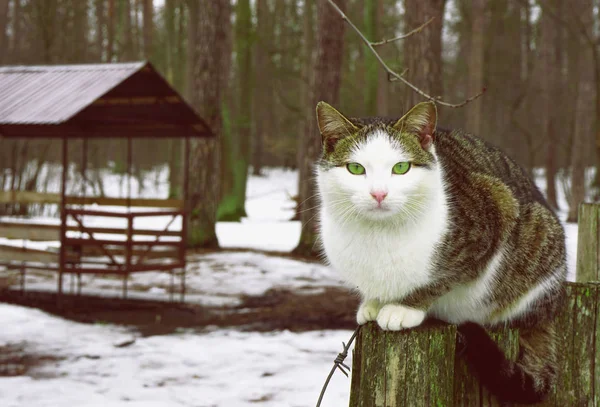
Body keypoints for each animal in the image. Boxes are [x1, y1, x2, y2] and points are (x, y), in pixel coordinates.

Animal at [314, 101, 568, 404]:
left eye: (401, 167)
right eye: (355, 168)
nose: (379, 194)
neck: (379, 232)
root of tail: (553, 306)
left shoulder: (491, 216)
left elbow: (443, 278)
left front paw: (403, 307)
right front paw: (373, 303)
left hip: (539, 238)